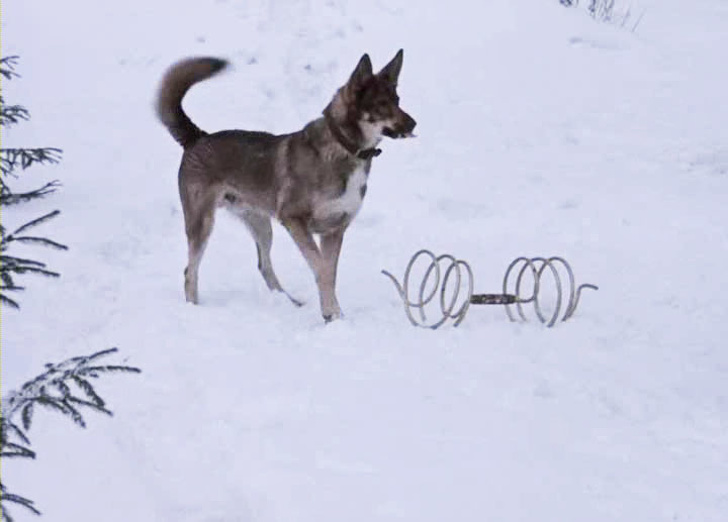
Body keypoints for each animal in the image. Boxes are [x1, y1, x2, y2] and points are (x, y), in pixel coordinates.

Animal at [155, 51, 416, 320]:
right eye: (381, 104)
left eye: (397, 100)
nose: (413, 124)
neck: (343, 148)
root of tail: (197, 137)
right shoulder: (294, 219)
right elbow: (322, 269)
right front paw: (331, 313)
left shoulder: (335, 230)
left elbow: (330, 273)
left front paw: (334, 316)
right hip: (202, 222)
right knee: (190, 271)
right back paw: (193, 308)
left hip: (261, 225)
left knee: (263, 265)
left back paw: (290, 302)